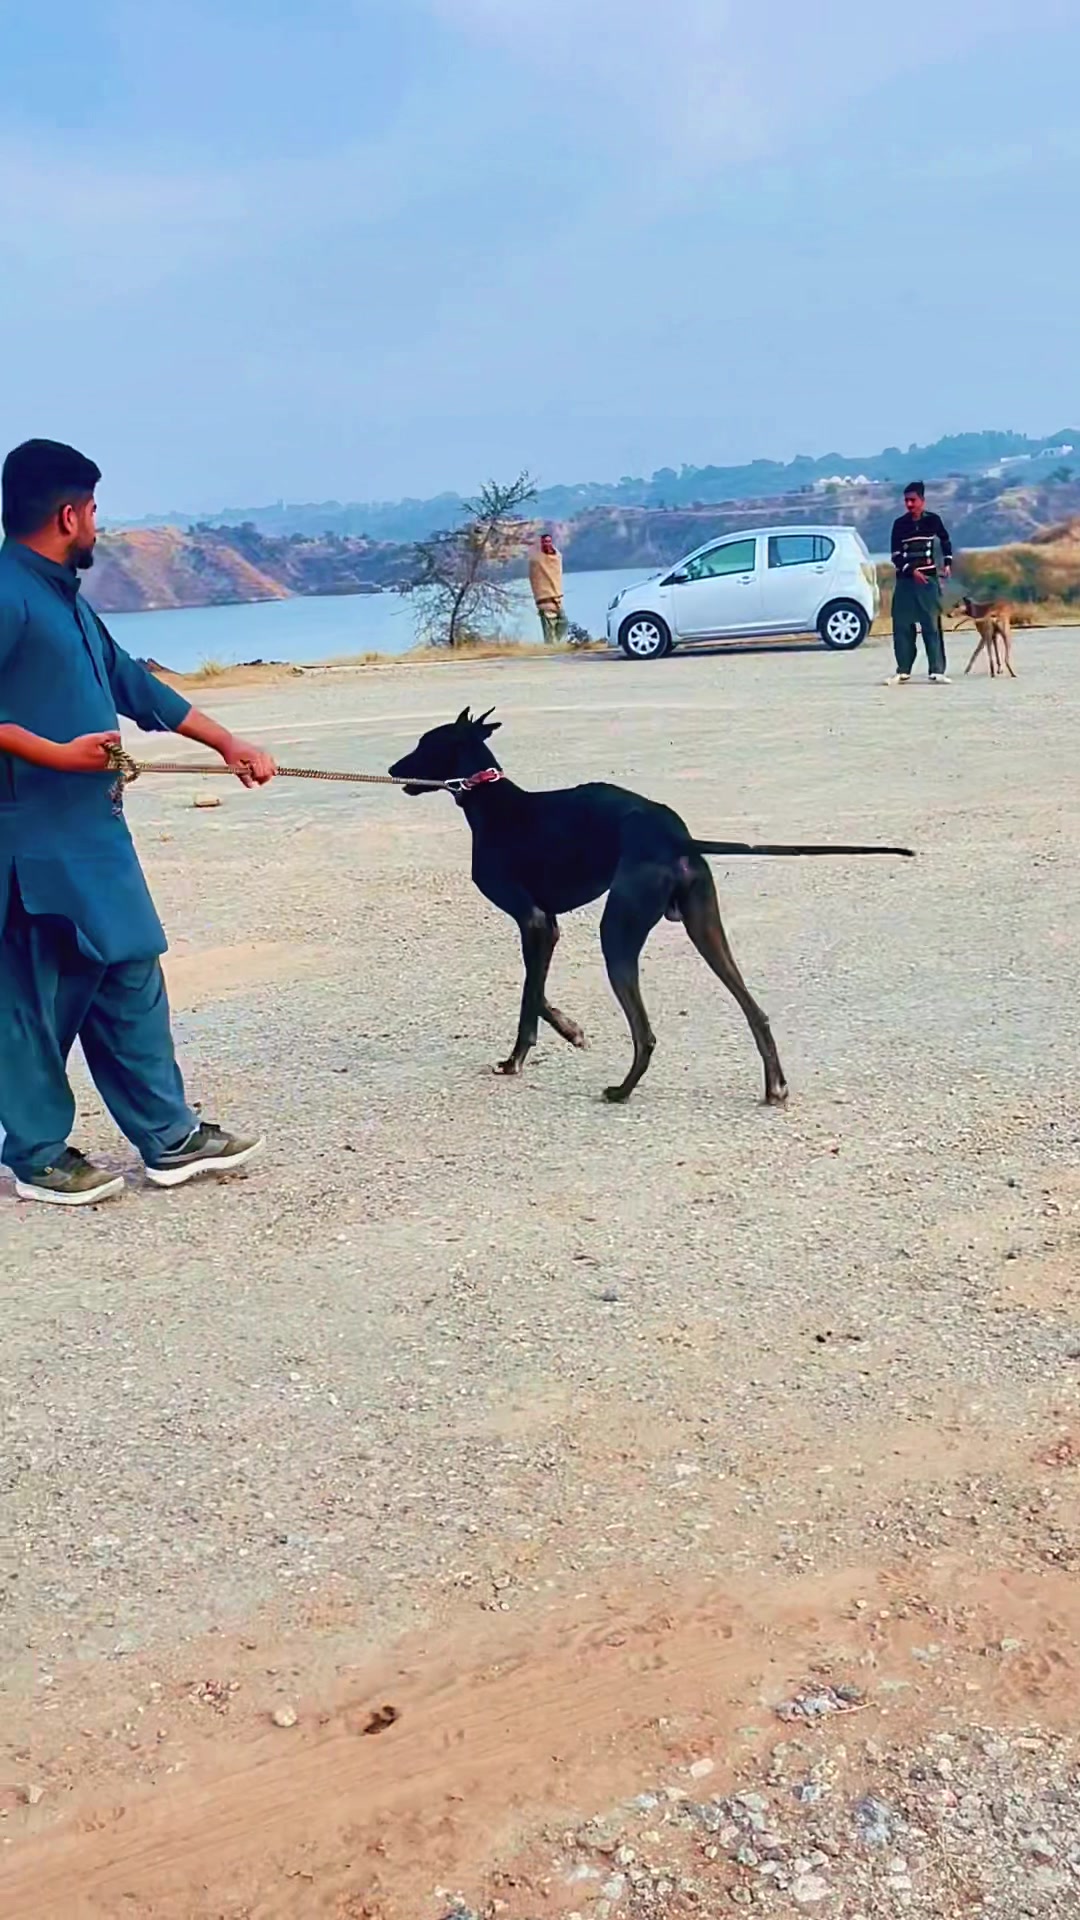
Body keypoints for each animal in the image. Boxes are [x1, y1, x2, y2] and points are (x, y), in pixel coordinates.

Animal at [389, 710, 914, 1105]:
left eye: (424, 743)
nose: (394, 770)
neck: (491, 800)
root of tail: (677, 838)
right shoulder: (548, 924)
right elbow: (534, 990)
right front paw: (567, 1029)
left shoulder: (533, 921)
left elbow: (528, 994)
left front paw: (532, 1050)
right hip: (705, 927)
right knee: (755, 1011)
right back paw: (775, 1086)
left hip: (617, 932)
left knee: (645, 1033)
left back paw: (621, 1090)